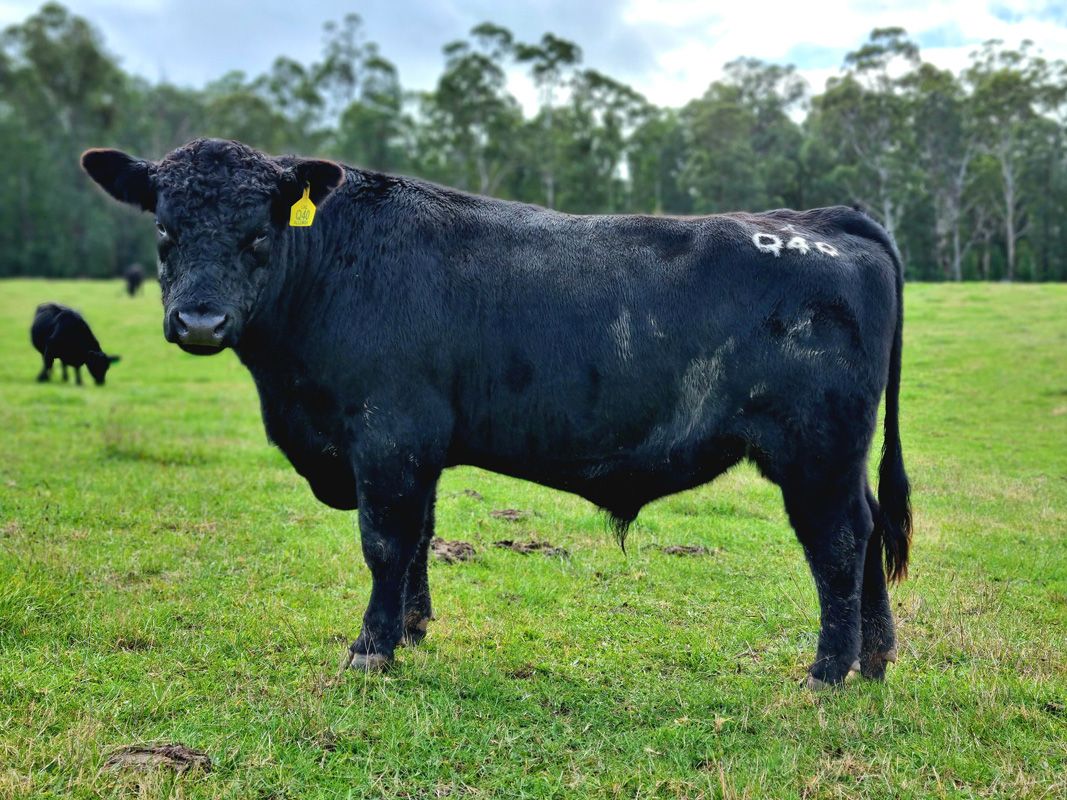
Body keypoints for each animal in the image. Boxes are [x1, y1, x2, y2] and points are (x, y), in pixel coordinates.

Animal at [81, 138, 911, 688]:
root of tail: (822, 219)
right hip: (836, 458)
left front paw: (370, 648)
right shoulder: (418, 446)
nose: (200, 322)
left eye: (259, 233)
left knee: (839, 544)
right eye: (164, 230)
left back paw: (827, 671)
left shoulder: (387, 435)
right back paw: (873, 659)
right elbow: (419, 537)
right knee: (870, 531)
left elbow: (384, 541)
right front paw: (412, 628)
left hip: (814, 453)